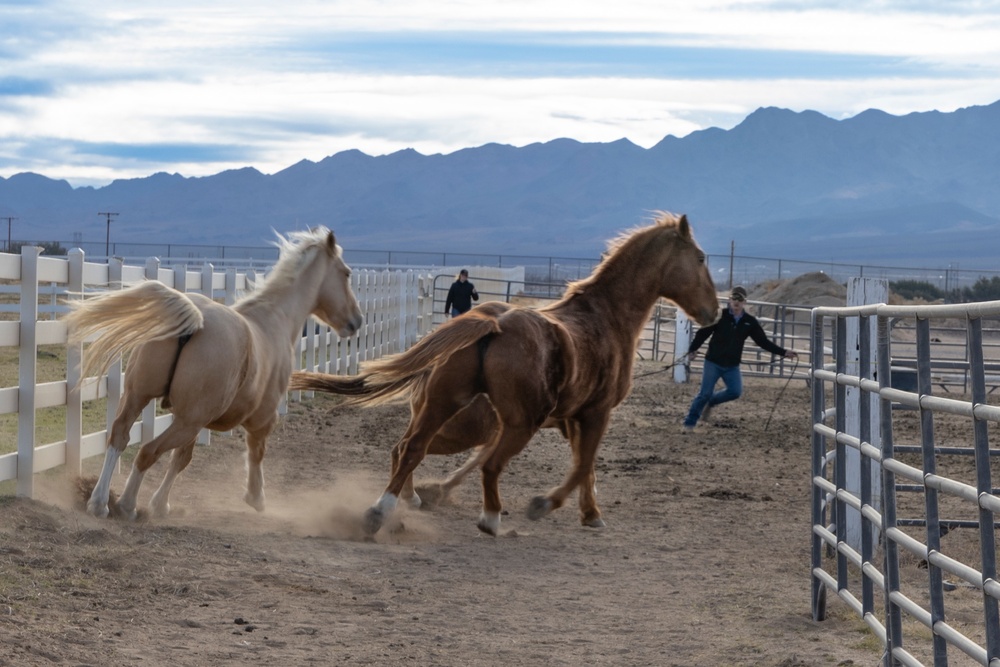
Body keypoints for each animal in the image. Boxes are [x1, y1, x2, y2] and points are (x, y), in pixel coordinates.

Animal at [66, 227, 364, 520]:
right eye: (347, 273)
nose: (357, 320)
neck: (274, 320)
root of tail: (195, 319)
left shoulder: (188, 418)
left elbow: (182, 458)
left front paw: (161, 505)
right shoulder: (262, 420)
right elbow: (254, 452)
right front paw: (256, 498)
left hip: (142, 399)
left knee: (119, 437)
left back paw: (99, 503)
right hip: (188, 422)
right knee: (148, 451)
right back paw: (127, 505)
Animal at [290, 214, 720, 536]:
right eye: (701, 258)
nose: (713, 311)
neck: (605, 318)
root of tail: (491, 322)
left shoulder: (569, 419)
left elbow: (586, 467)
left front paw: (591, 514)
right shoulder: (596, 413)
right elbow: (584, 465)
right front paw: (548, 504)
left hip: (445, 406)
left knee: (409, 448)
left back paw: (383, 510)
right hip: (513, 423)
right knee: (487, 465)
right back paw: (491, 520)